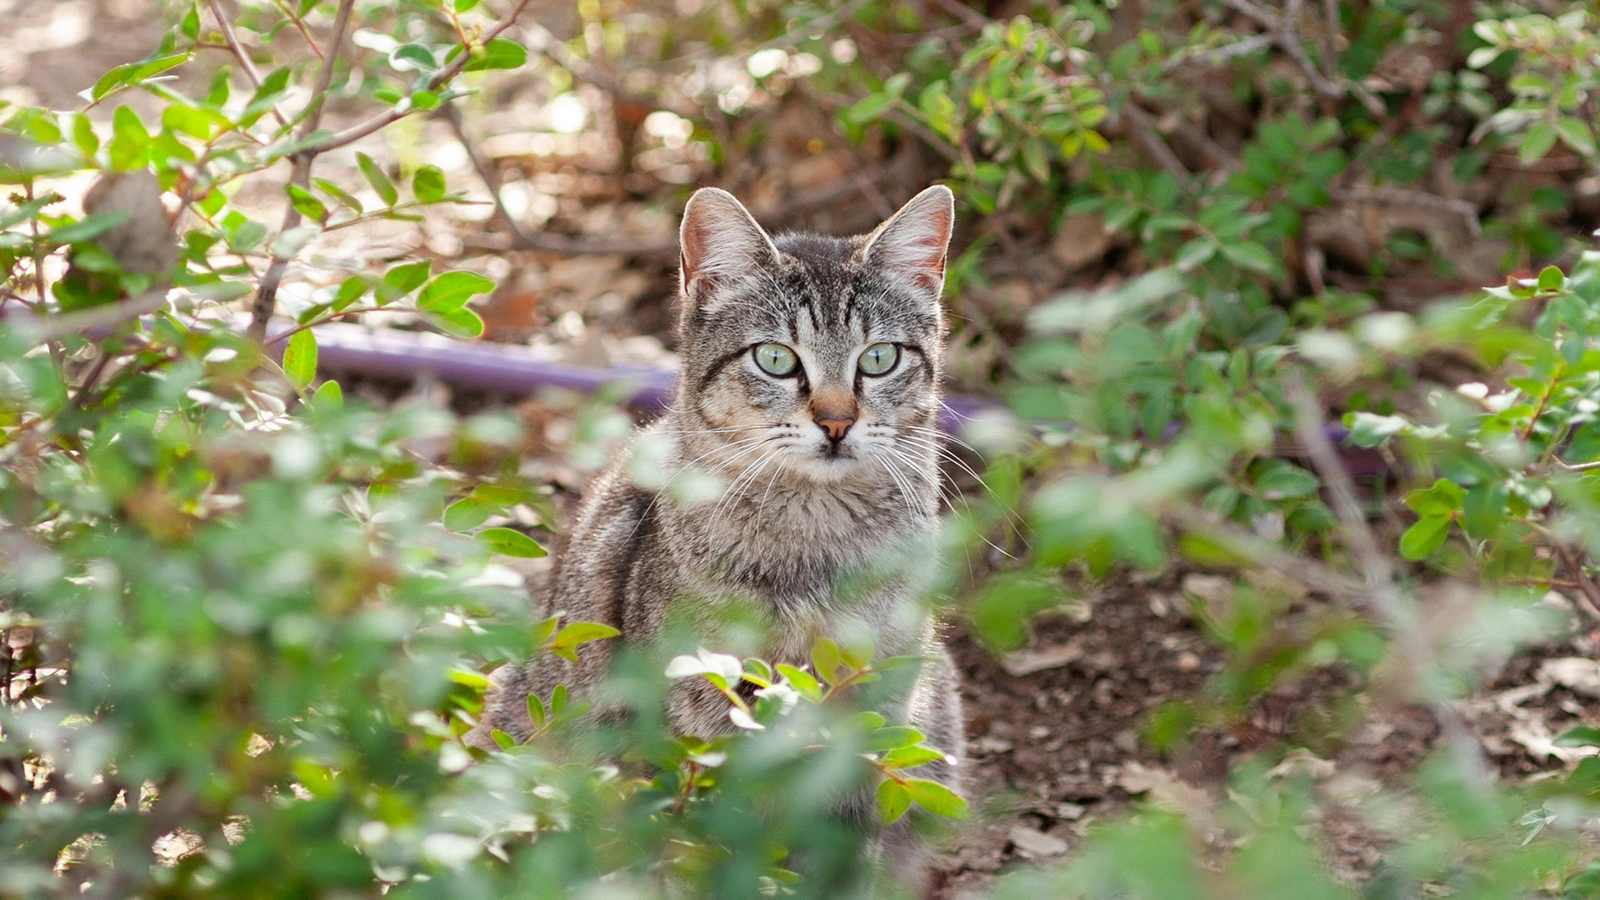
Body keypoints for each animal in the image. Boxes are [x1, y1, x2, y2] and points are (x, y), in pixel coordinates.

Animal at [470, 185, 960, 883]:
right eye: (776, 359)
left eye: (879, 358)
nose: (837, 423)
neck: (815, 539)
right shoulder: (694, 723)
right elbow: (699, 845)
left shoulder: (872, 717)